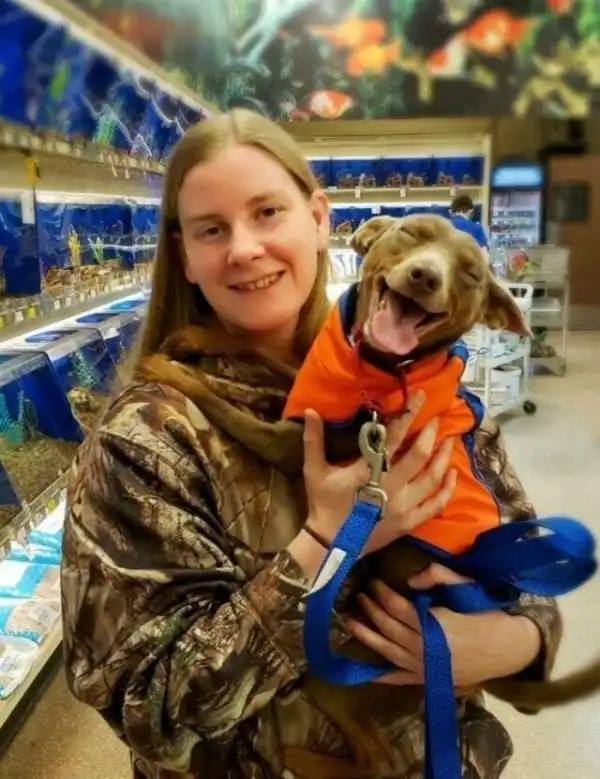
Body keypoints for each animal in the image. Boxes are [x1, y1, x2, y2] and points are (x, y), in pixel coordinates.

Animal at [281, 214, 600, 778]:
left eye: (470, 273)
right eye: (411, 234)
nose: (426, 276)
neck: (381, 369)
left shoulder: (323, 443)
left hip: (341, 672)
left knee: (380, 762)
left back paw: (303, 759)